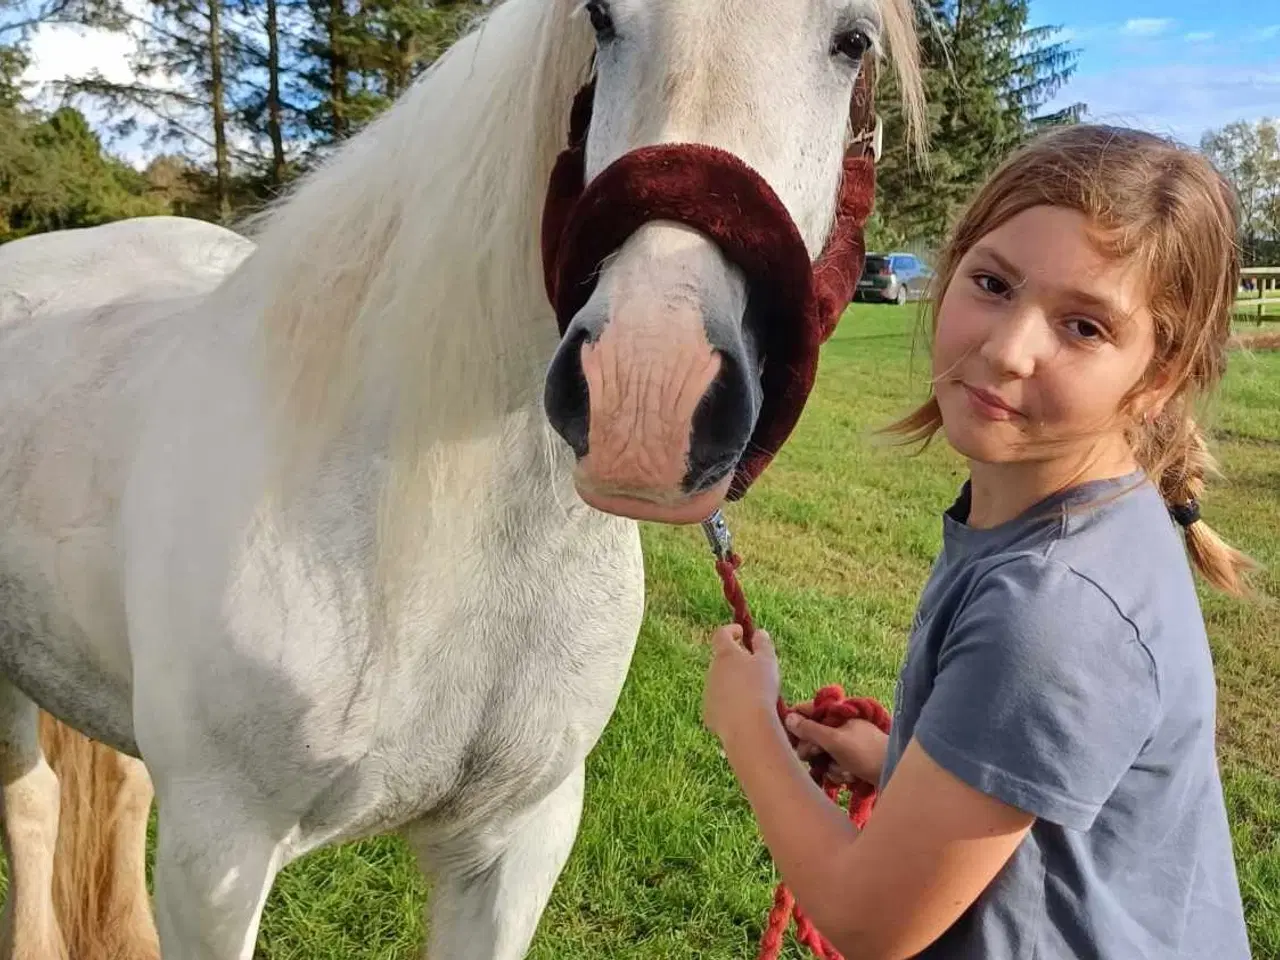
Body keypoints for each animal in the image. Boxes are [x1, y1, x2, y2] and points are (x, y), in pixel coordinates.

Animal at [0, 0, 921, 957]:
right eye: (602, 19)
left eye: (852, 39)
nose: (646, 397)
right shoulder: (217, 856)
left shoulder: (515, 845)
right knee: (33, 806)